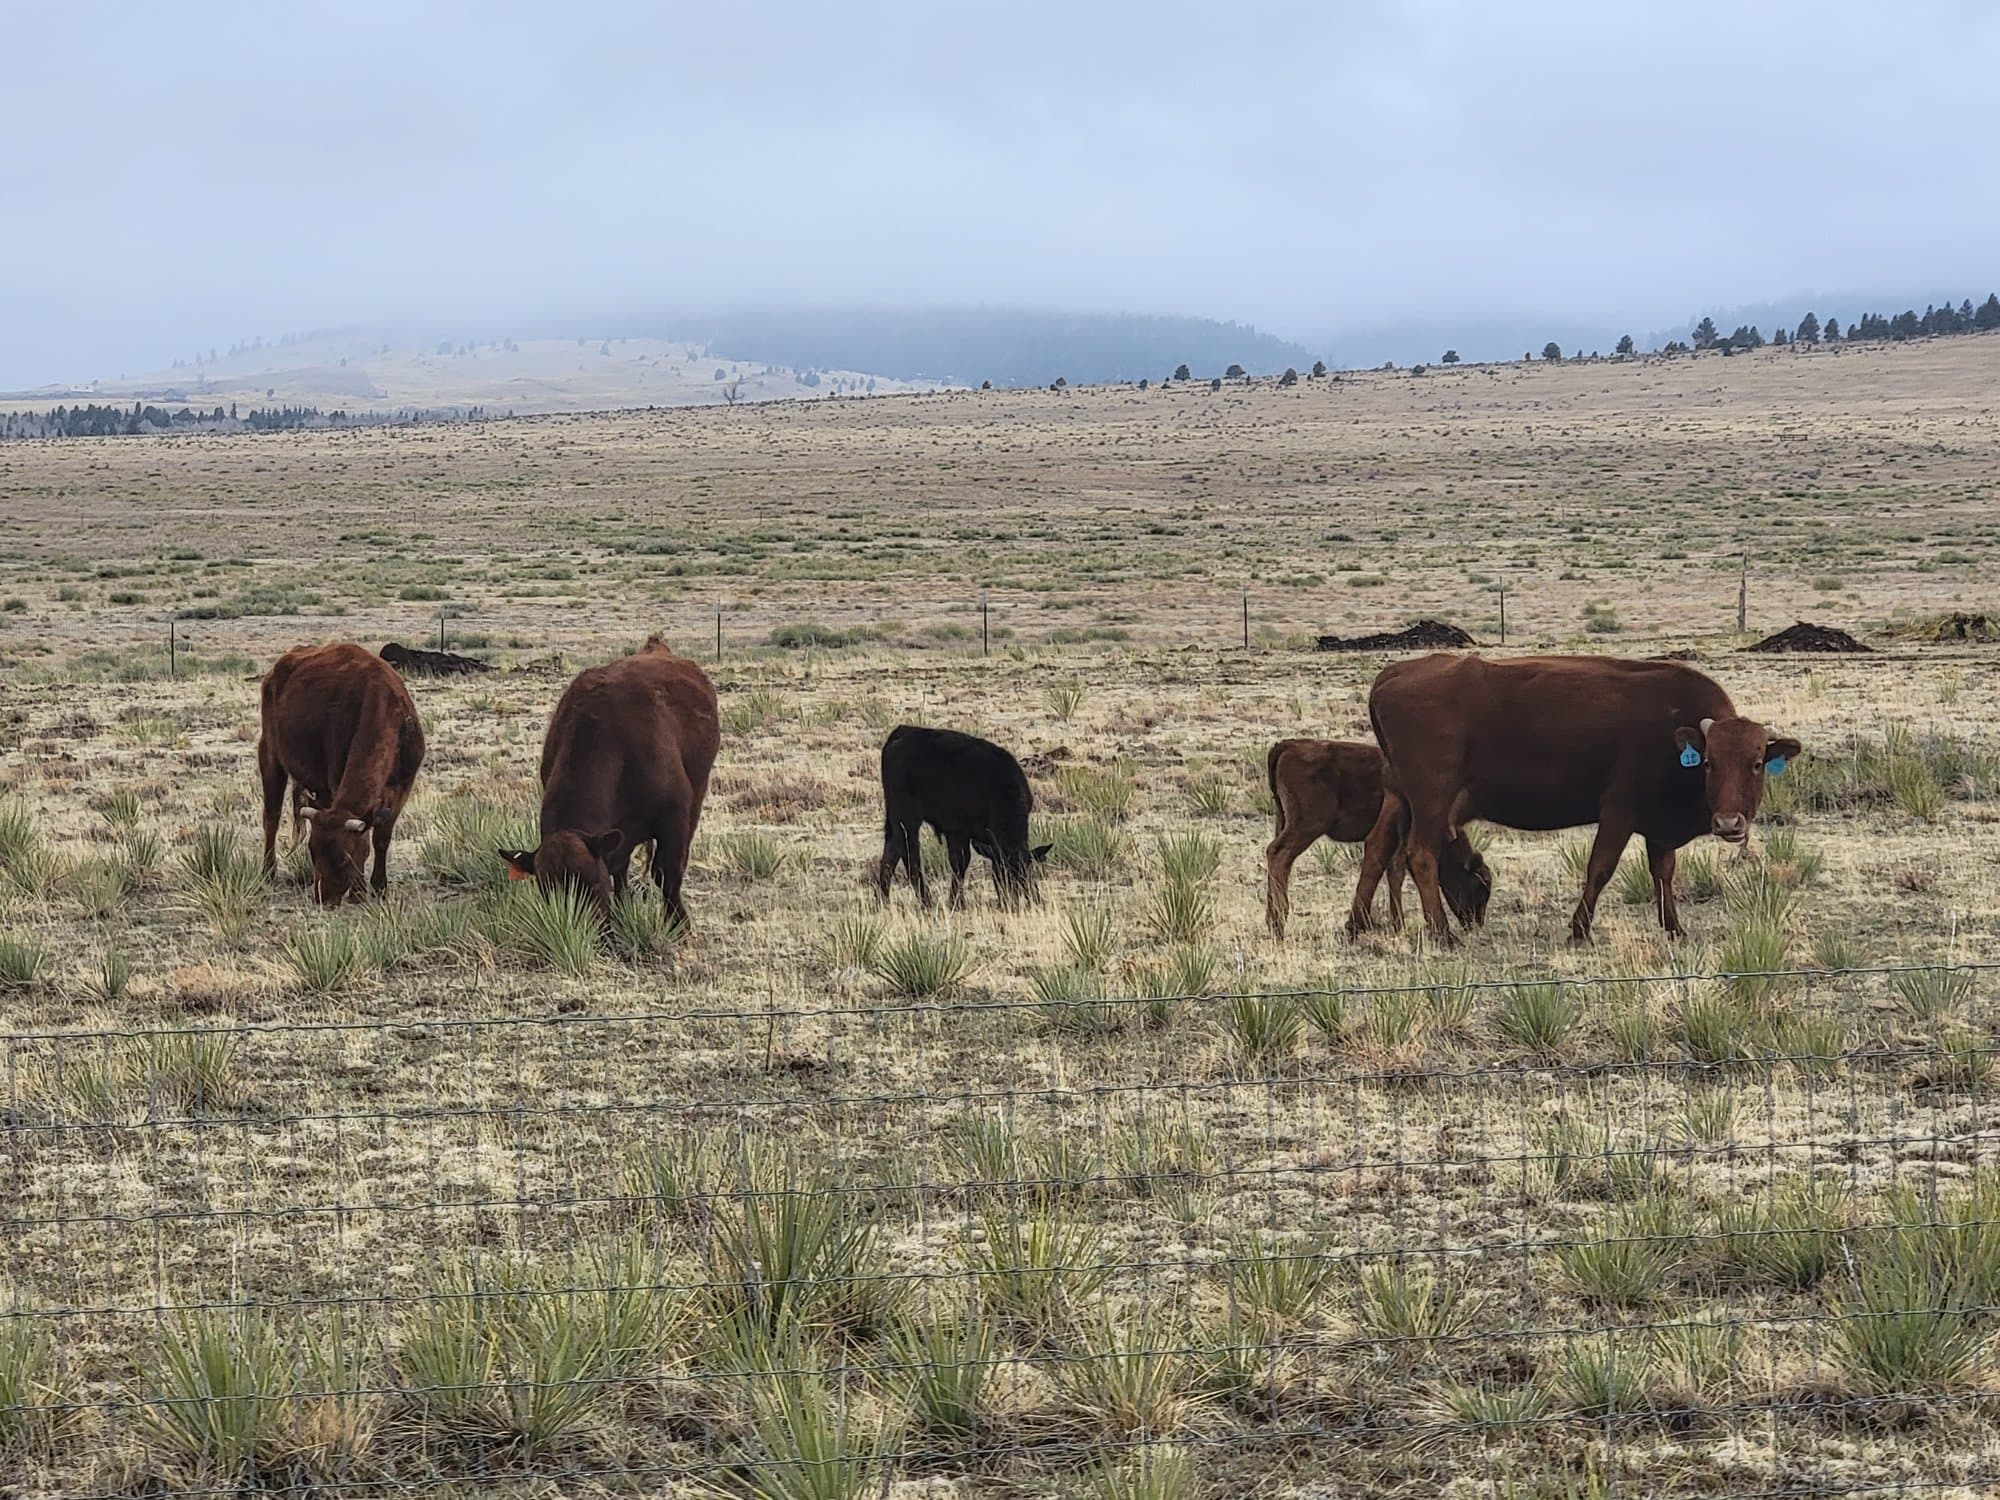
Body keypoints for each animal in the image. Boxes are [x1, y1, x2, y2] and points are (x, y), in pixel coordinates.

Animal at [258, 642, 426, 906]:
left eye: (343, 859)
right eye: (313, 852)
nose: (323, 898)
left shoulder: (402, 788)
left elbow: (381, 838)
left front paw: (379, 887)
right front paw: (358, 891)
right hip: (269, 754)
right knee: (271, 818)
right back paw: (268, 872)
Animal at [499, 636, 718, 925]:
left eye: (591, 883)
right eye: (547, 892)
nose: (579, 927)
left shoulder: (674, 816)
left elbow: (667, 873)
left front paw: (678, 924)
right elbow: (618, 868)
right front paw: (623, 914)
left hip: (698, 791)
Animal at [876, 725, 1051, 908]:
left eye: (1026, 874)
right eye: (1000, 875)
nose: (1011, 902)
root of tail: (903, 731)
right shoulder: (957, 830)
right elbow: (959, 863)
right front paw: (956, 902)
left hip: (896, 819)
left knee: (891, 853)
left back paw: (883, 901)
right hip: (907, 818)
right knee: (910, 856)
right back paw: (927, 903)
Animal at [1264, 737, 1493, 938]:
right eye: (1480, 886)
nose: (1475, 923)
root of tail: (1288, 745)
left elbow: (1394, 872)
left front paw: (1398, 924)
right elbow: (1397, 872)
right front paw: (1399, 924)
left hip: (1284, 821)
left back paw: (1272, 920)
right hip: (1308, 825)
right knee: (1279, 854)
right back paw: (1279, 921)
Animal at [1348, 654, 1801, 944]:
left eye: (1756, 762)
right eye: (1708, 762)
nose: (1729, 824)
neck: (1673, 731)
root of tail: (1393, 675)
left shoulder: (1657, 828)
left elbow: (1663, 873)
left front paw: (1674, 928)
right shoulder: (1618, 812)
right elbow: (1600, 868)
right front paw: (1580, 929)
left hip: (1403, 797)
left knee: (1379, 850)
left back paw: (1360, 924)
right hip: (1431, 801)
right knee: (1420, 856)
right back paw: (1442, 934)